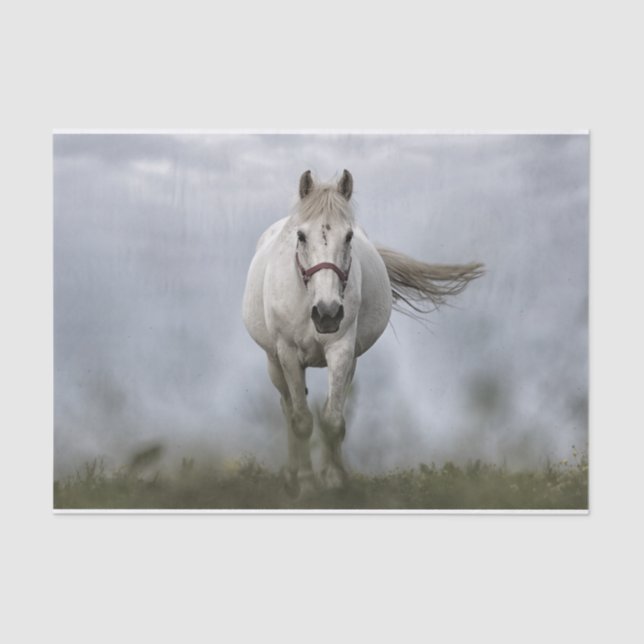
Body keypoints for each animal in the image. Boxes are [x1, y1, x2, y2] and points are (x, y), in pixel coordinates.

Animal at [242, 170, 483, 495]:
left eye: (348, 236)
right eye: (301, 236)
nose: (327, 313)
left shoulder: (342, 350)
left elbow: (333, 419)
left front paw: (333, 480)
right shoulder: (288, 354)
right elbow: (301, 420)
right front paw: (305, 484)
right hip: (274, 362)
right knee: (288, 408)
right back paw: (292, 474)